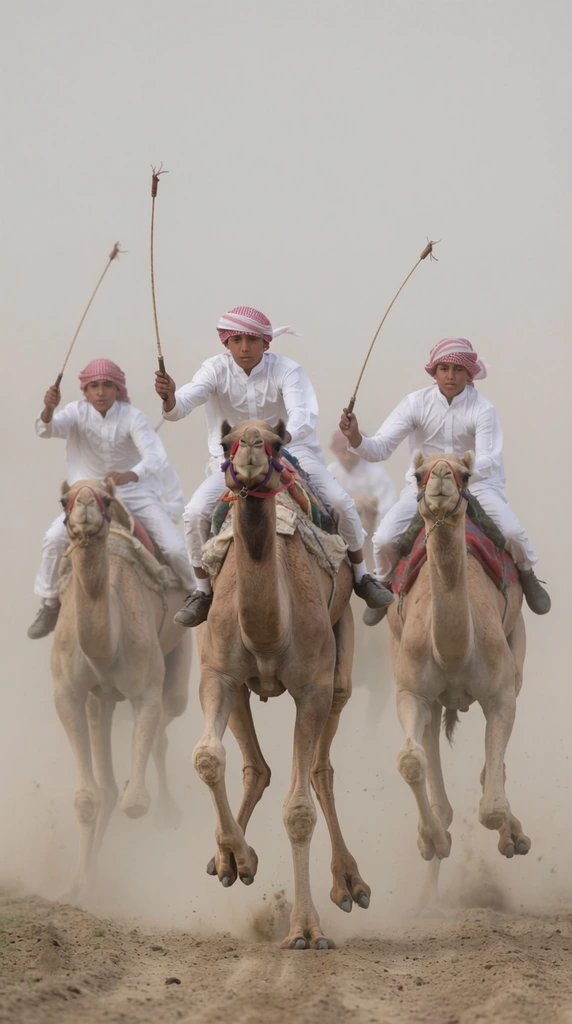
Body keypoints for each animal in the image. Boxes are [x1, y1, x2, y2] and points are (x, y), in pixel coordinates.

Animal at [51, 478, 192, 899]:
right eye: (64, 500)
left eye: (106, 499)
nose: (84, 505)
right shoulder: (68, 695)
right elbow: (89, 797)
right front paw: (79, 883)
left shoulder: (145, 689)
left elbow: (135, 804)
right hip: (101, 702)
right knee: (108, 782)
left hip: (178, 665)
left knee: (166, 721)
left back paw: (168, 811)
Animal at [192, 420, 370, 949]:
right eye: (227, 442)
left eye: (274, 441)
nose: (251, 449)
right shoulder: (218, 674)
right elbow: (208, 758)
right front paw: (240, 858)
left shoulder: (311, 688)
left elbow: (299, 811)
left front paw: (306, 931)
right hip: (236, 687)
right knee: (257, 766)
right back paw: (226, 861)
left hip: (339, 654)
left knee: (319, 766)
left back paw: (350, 884)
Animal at [387, 452, 530, 910]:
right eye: (418, 474)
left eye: (466, 475)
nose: (440, 478)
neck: (453, 651)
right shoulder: (411, 692)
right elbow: (410, 760)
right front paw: (431, 841)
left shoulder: (500, 693)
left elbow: (491, 807)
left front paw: (510, 836)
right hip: (427, 697)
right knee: (431, 748)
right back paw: (427, 893)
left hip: (517, 650)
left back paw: (513, 837)